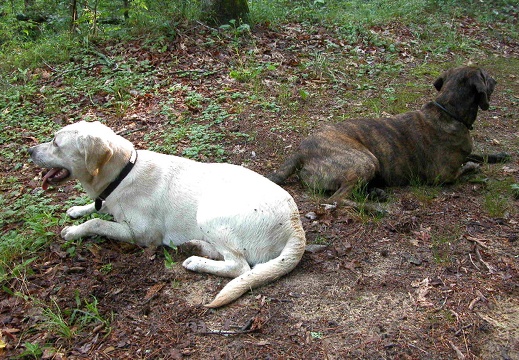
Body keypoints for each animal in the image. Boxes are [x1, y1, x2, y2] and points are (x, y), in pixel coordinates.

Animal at [28, 120, 306, 306]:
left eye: (55, 142)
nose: (29, 151)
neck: (122, 173)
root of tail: (296, 225)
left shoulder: (142, 234)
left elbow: (96, 222)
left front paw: (74, 231)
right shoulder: (108, 200)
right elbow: (97, 207)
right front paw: (77, 210)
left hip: (209, 212)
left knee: (240, 267)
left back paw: (196, 261)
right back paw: (195, 246)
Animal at [270, 66, 506, 210]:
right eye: (485, 76)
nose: (495, 79)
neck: (447, 111)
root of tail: (301, 152)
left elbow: (478, 154)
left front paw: (499, 155)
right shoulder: (443, 175)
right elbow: (464, 168)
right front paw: (473, 168)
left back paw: (376, 193)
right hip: (366, 160)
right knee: (336, 199)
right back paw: (375, 208)